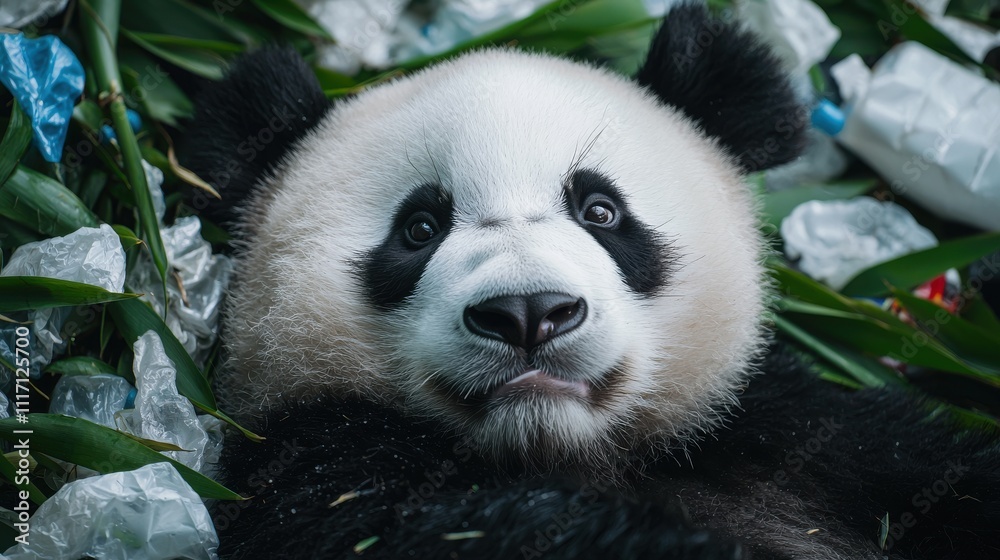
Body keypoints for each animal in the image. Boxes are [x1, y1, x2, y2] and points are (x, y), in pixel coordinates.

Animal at [184, 4, 1000, 559]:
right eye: (418, 228)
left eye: (600, 210)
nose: (527, 312)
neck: (567, 451)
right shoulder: (319, 471)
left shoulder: (798, 431)